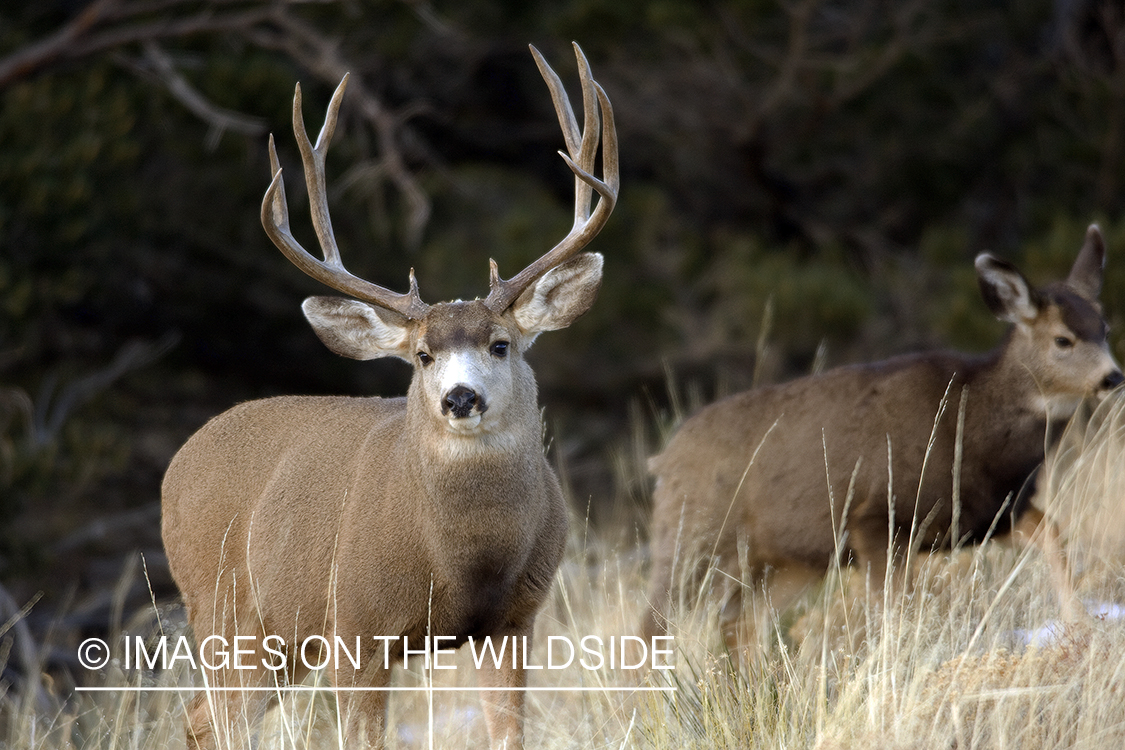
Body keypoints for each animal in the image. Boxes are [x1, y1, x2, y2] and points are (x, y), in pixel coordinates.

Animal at [161, 43, 617, 750]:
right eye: (423, 355)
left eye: (501, 344)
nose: (460, 398)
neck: (464, 561)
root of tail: (178, 464)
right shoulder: (356, 624)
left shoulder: (516, 622)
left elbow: (508, 733)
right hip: (222, 610)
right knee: (217, 716)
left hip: (278, 641)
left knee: (203, 719)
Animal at [642, 226, 1123, 654]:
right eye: (1063, 339)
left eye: (1105, 329)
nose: (1112, 377)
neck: (973, 427)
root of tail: (663, 459)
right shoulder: (875, 517)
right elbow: (894, 610)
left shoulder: (989, 515)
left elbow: (1052, 533)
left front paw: (1079, 625)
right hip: (692, 536)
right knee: (654, 624)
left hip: (789, 559)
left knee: (739, 621)